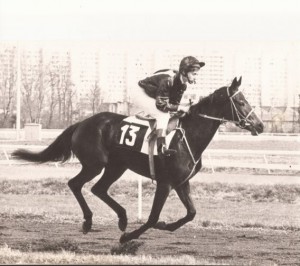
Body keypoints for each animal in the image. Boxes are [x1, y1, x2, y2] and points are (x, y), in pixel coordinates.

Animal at [12, 76, 264, 243]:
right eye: (241, 102)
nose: (260, 125)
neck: (188, 136)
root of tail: (82, 123)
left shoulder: (181, 182)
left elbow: (191, 213)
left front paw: (166, 225)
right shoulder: (165, 182)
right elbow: (152, 217)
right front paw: (129, 237)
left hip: (116, 166)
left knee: (98, 189)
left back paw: (122, 218)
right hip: (95, 164)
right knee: (76, 184)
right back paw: (89, 221)